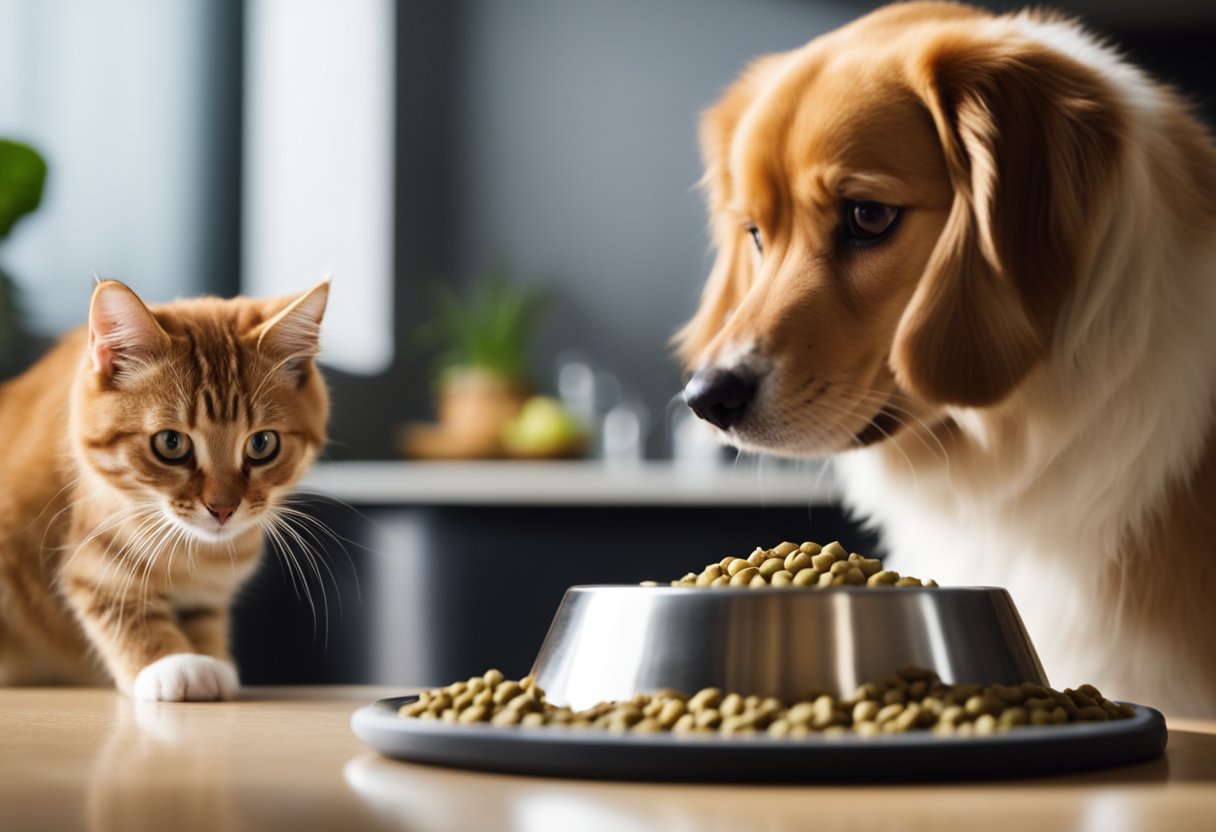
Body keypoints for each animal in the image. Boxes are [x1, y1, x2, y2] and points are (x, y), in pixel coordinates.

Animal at [0, 279, 330, 700]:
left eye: (262, 443)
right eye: (171, 443)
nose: (223, 509)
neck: (198, 554)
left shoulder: (208, 590)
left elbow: (203, 615)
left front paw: (211, 658)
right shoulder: (91, 547)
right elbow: (117, 601)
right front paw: (173, 663)